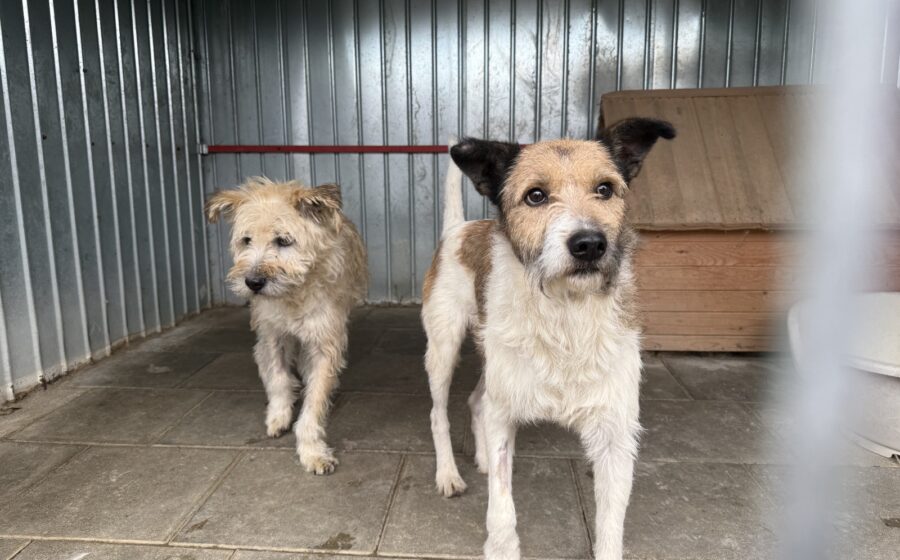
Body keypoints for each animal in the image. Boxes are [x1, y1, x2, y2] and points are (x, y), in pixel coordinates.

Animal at [206, 177, 367, 474]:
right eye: (246, 240)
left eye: (283, 241)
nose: (253, 283)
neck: (294, 293)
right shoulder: (273, 335)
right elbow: (279, 378)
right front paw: (279, 415)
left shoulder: (324, 341)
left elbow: (315, 399)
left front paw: (312, 450)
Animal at [422, 119, 675, 559]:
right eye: (535, 195)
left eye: (605, 189)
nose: (589, 244)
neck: (565, 313)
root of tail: (459, 229)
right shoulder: (505, 410)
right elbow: (501, 508)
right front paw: (502, 548)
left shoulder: (615, 434)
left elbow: (611, 522)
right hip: (443, 348)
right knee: (440, 414)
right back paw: (449, 475)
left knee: (476, 400)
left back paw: (481, 458)